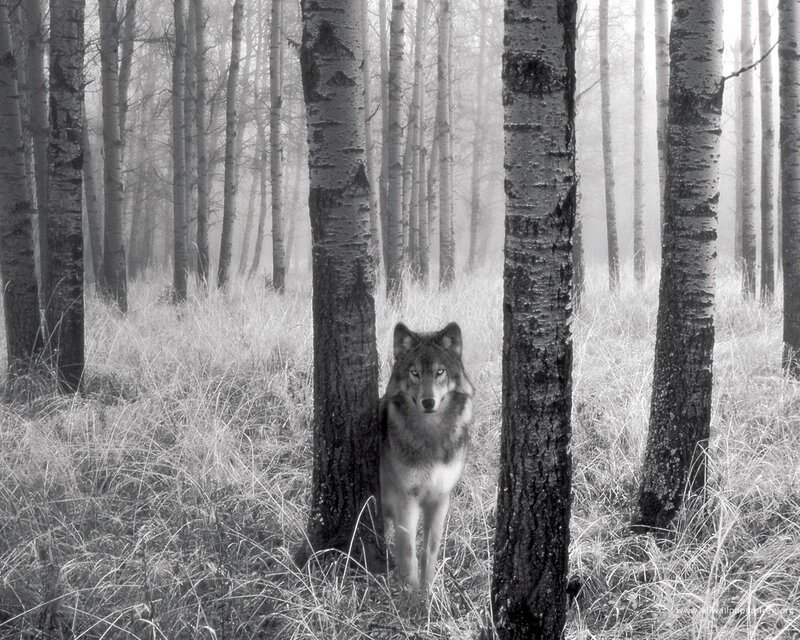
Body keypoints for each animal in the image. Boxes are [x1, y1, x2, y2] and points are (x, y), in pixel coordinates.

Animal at [379, 321, 474, 591]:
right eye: (414, 373)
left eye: (440, 372)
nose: (428, 402)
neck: (431, 436)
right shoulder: (406, 498)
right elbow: (409, 551)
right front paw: (411, 595)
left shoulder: (440, 497)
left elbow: (430, 550)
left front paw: (429, 591)